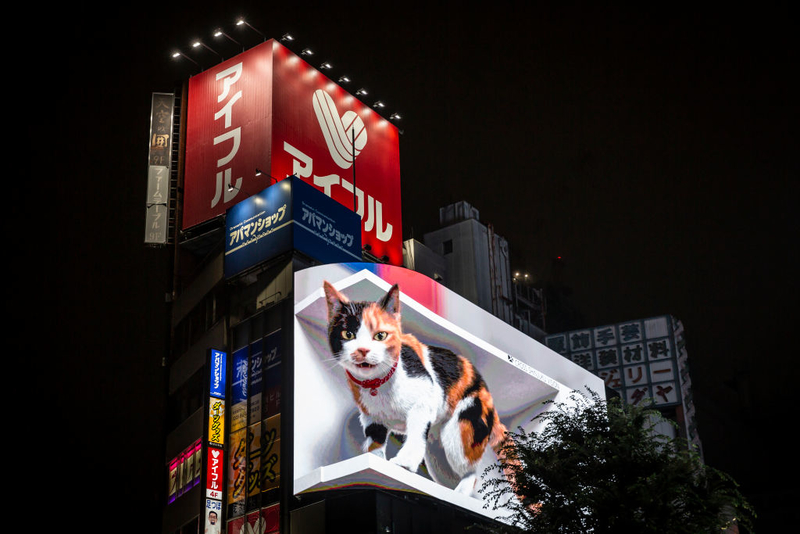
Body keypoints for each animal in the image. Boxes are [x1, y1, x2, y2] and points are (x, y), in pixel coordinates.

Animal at [320, 282, 504, 496]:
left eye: (380, 335)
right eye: (348, 334)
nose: (363, 350)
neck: (378, 384)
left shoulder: (425, 398)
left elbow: (416, 433)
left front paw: (404, 463)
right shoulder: (371, 417)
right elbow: (375, 441)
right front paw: (377, 463)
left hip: (462, 426)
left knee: (470, 470)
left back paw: (461, 492)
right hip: (437, 448)